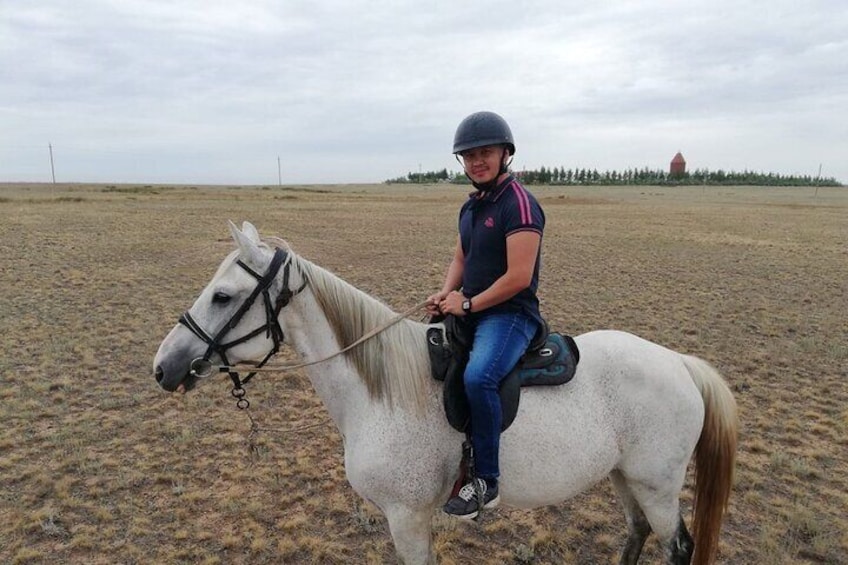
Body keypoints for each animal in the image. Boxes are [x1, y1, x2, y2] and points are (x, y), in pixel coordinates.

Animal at [156, 220, 740, 564]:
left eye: (223, 295)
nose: (164, 366)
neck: (380, 392)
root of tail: (680, 364)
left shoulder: (407, 516)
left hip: (657, 484)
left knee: (677, 546)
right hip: (625, 477)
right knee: (637, 532)